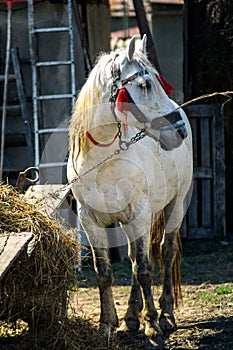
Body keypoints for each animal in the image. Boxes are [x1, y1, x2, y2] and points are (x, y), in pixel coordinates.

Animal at [67, 34, 193, 348]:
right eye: (145, 85)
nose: (179, 129)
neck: (103, 161)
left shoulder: (140, 214)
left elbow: (145, 269)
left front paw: (153, 326)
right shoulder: (91, 221)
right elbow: (105, 273)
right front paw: (107, 325)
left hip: (175, 206)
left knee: (166, 251)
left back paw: (165, 314)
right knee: (136, 258)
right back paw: (132, 317)